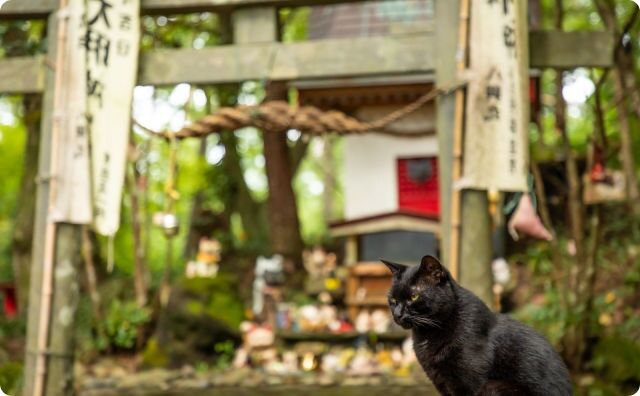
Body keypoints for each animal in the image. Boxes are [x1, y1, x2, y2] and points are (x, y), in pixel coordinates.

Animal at [382, 255, 572, 394]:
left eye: (414, 297)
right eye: (393, 300)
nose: (397, 314)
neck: (428, 333)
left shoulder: (468, 383)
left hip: (495, 387)